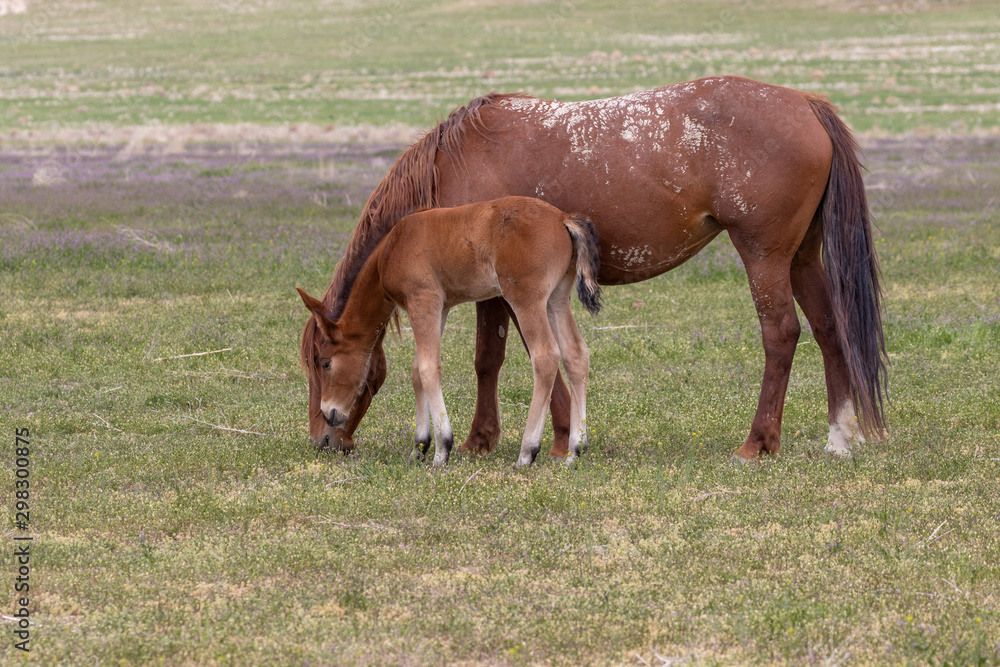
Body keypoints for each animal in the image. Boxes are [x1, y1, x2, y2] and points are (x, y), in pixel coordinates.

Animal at [297, 196, 602, 467]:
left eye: (324, 363)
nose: (328, 414)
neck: (391, 248)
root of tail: (562, 218)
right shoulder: (439, 308)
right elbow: (416, 369)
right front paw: (419, 447)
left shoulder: (423, 300)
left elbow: (428, 369)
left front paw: (442, 449)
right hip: (556, 299)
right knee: (576, 354)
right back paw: (575, 450)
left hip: (526, 299)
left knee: (546, 357)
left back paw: (527, 452)